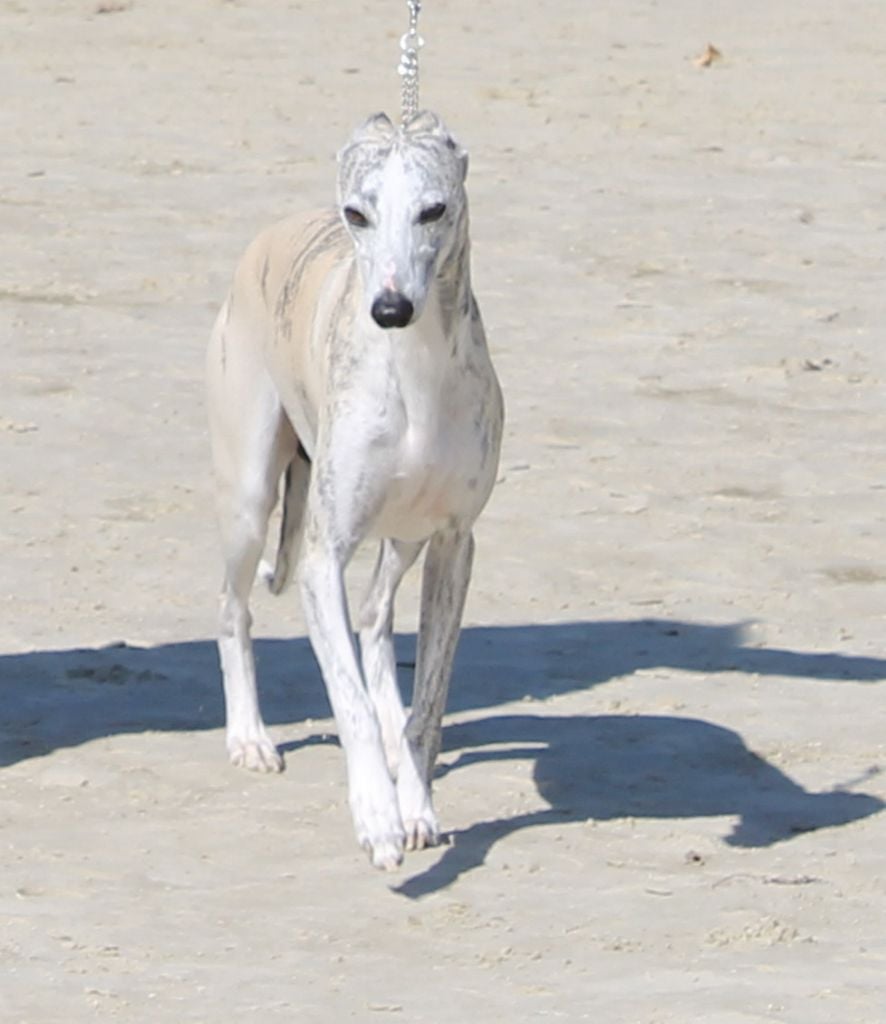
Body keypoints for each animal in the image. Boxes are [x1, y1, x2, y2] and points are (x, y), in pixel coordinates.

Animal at [202, 108, 501, 868]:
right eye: (358, 214)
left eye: (434, 209)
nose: (389, 309)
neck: (414, 372)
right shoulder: (321, 557)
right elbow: (351, 703)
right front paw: (376, 815)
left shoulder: (456, 543)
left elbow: (429, 704)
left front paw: (415, 805)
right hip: (250, 500)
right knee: (233, 611)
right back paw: (250, 736)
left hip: (406, 536)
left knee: (373, 616)